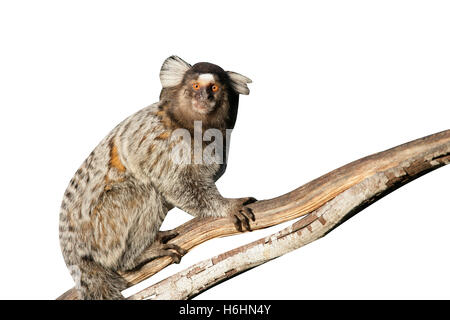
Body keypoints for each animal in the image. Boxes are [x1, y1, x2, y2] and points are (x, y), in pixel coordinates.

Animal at [59, 56, 256, 298]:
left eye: (214, 88)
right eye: (196, 86)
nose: (205, 98)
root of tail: (74, 256)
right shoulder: (163, 141)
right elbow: (178, 186)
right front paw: (228, 207)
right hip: (103, 230)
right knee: (146, 193)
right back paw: (137, 256)